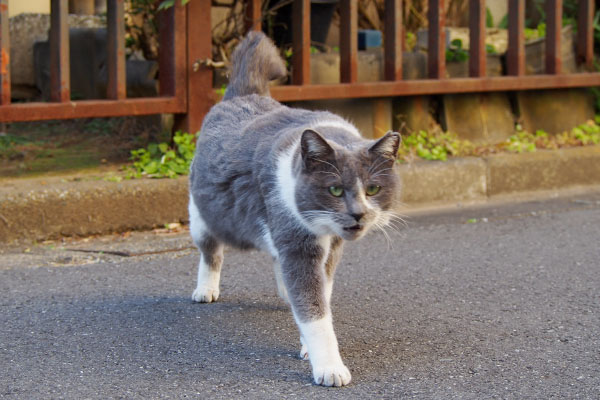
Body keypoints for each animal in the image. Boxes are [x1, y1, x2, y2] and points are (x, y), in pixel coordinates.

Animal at [190, 32, 400, 388]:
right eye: (334, 189)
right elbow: (315, 312)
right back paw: (205, 290)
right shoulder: (298, 243)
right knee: (210, 251)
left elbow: (320, 294)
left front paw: (306, 345)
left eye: (373, 189)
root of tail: (243, 93)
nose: (358, 213)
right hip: (201, 215)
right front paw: (329, 367)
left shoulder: (330, 249)